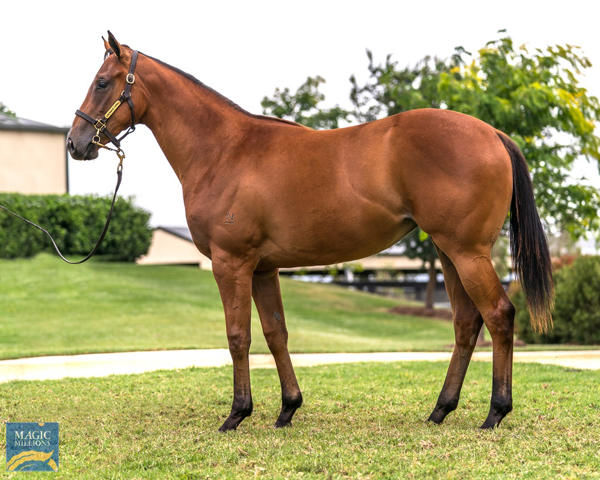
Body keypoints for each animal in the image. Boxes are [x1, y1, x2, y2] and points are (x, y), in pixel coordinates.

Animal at [67, 33, 552, 432]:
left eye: (103, 82)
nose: (75, 143)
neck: (225, 149)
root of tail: (492, 132)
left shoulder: (231, 263)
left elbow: (238, 336)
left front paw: (237, 414)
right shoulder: (263, 269)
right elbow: (275, 334)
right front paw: (287, 408)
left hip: (467, 252)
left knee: (499, 315)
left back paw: (495, 412)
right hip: (449, 253)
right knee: (467, 323)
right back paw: (440, 410)